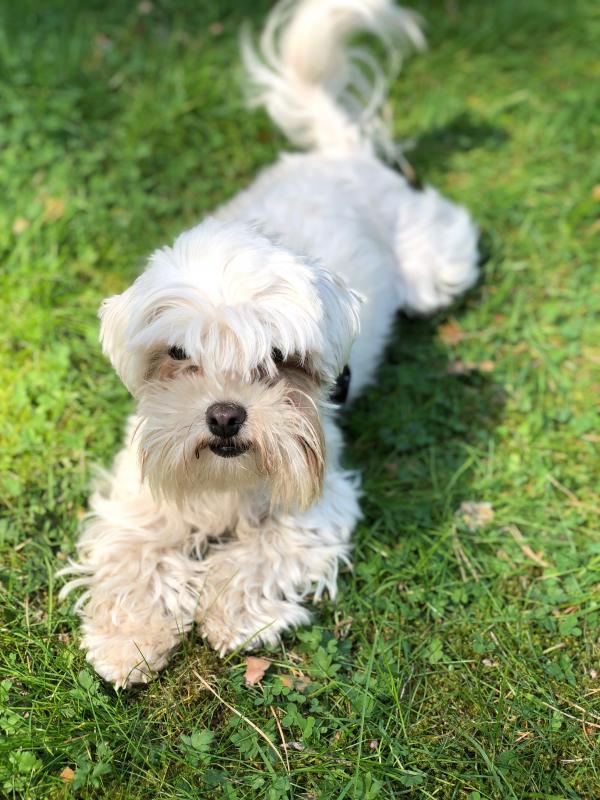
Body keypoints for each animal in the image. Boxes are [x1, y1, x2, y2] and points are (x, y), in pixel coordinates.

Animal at [60, 0, 478, 688]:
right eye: (179, 355)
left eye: (279, 361)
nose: (226, 415)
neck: (227, 482)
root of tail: (339, 153)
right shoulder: (137, 496)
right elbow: (134, 556)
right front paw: (129, 637)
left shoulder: (316, 501)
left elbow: (261, 553)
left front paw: (232, 615)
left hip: (436, 266)